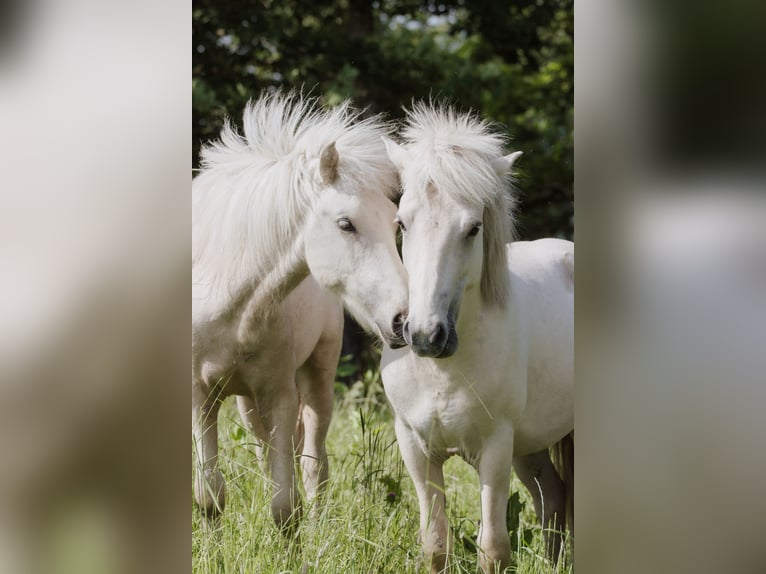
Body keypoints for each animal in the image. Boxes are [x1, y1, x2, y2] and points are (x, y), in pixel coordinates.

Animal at [194, 92, 408, 532]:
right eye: (346, 224)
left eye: (394, 225)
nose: (403, 320)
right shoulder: (199, 397)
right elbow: (209, 497)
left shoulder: (280, 394)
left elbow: (285, 506)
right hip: (247, 401)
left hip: (316, 378)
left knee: (313, 465)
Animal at [380, 104, 572, 574]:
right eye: (401, 223)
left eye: (473, 228)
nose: (425, 335)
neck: (443, 371)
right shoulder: (416, 448)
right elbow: (435, 545)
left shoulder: (495, 448)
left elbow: (494, 549)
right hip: (531, 445)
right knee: (554, 497)